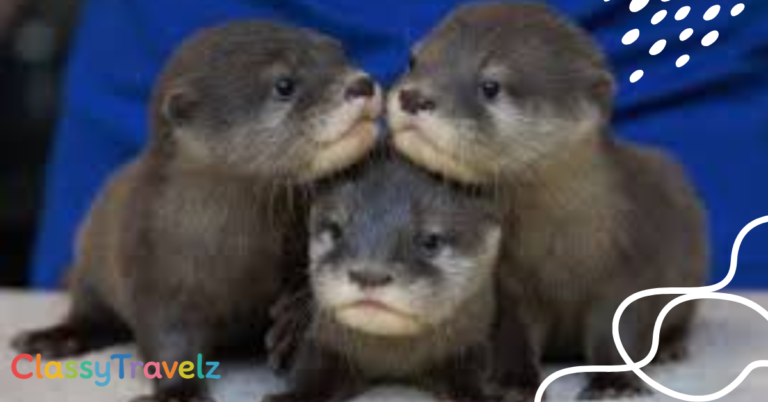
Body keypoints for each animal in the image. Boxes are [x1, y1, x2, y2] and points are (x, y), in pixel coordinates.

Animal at [12, 21, 381, 402]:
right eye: (284, 85)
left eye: (341, 54)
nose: (361, 84)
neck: (242, 251)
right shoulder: (151, 264)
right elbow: (167, 336)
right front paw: (179, 391)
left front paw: (294, 316)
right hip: (90, 265)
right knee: (89, 313)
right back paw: (54, 338)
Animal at [263, 152, 541, 402]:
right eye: (335, 230)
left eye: (431, 241)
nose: (369, 274)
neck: (395, 359)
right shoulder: (323, 340)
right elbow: (314, 372)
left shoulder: (472, 341)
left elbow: (470, 375)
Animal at [387, 2, 708, 400]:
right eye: (413, 60)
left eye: (490, 86)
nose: (412, 97)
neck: (560, 244)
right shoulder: (509, 286)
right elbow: (512, 335)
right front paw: (513, 382)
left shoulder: (631, 266)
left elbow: (618, 333)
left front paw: (615, 383)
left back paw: (669, 348)